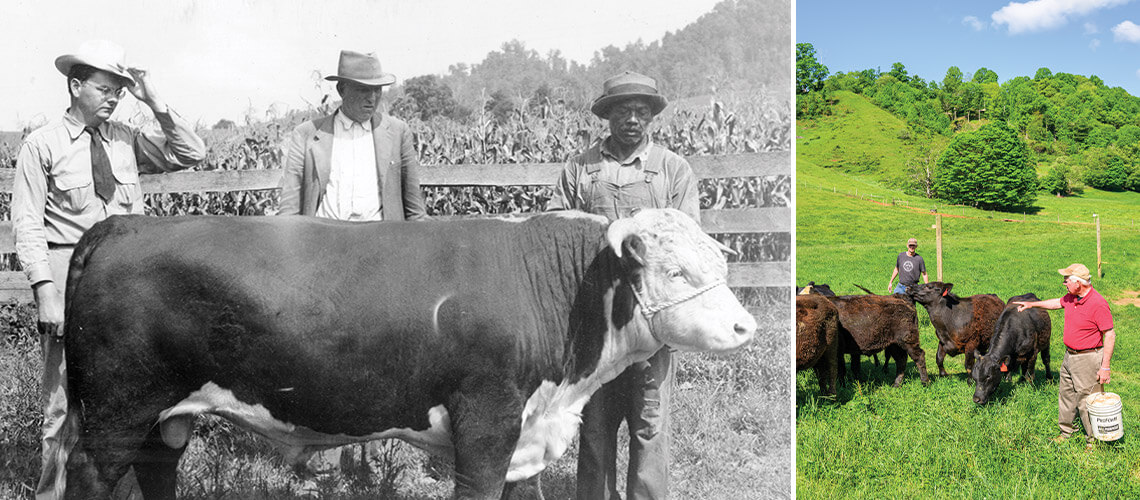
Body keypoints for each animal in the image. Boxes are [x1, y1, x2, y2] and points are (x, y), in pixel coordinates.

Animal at [55, 208, 756, 500]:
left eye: (718, 261)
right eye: (675, 270)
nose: (745, 326)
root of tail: (124, 223)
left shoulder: (524, 431)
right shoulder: (486, 421)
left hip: (162, 414)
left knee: (156, 469)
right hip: (118, 409)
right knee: (91, 474)